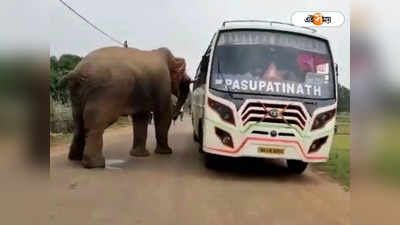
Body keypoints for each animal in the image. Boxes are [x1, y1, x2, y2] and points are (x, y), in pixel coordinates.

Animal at [59, 46, 191, 168]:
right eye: (183, 75)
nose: (177, 115)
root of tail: (77, 71)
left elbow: (141, 118)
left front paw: (139, 155)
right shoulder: (162, 82)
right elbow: (163, 114)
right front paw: (166, 152)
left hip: (76, 94)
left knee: (78, 123)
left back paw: (75, 159)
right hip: (106, 93)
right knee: (96, 125)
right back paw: (96, 165)